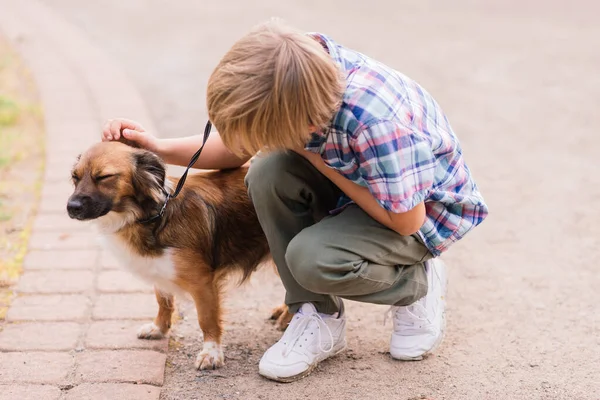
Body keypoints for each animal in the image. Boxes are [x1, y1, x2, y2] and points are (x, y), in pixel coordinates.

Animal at [66, 141, 290, 368]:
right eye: (75, 177)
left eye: (104, 177)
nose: (71, 207)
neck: (152, 217)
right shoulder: (159, 266)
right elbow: (163, 300)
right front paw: (159, 328)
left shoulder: (203, 283)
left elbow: (206, 318)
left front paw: (211, 353)